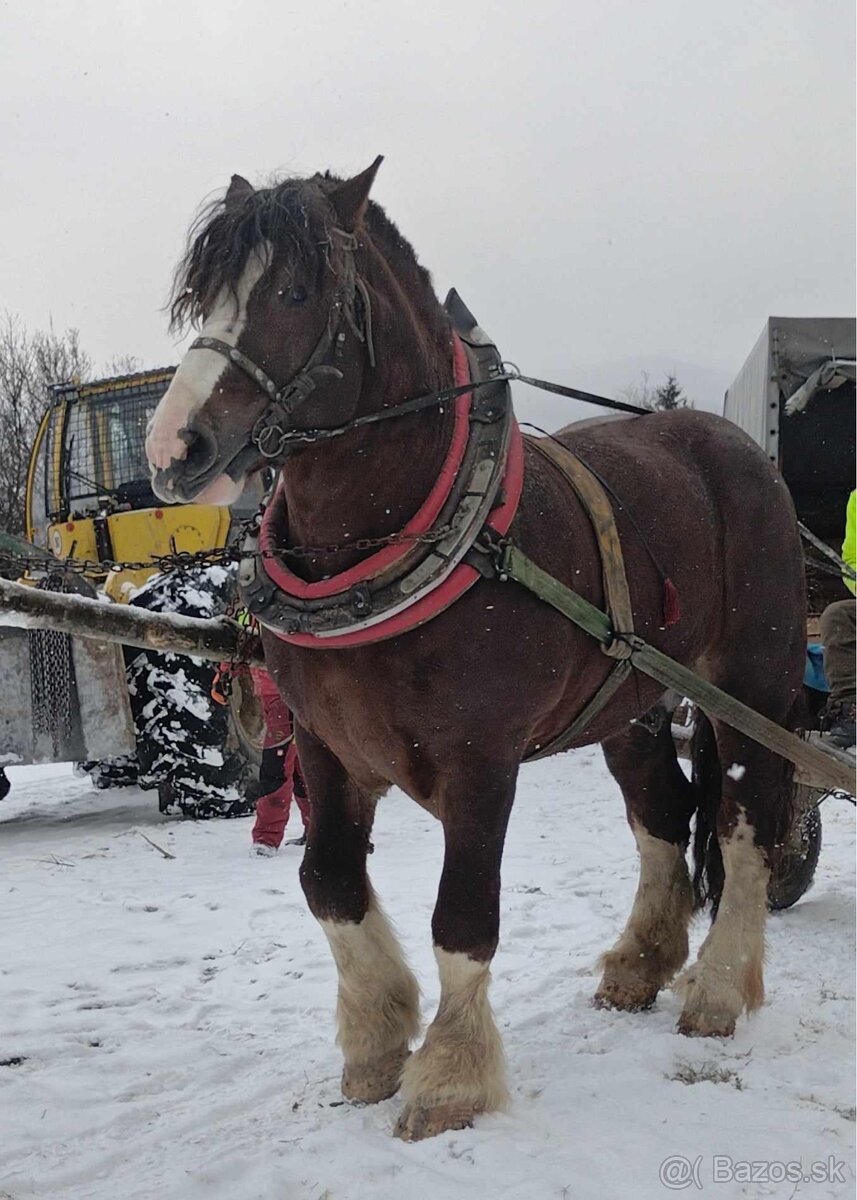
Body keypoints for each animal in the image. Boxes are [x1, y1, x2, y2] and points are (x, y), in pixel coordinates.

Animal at [143, 162, 806, 1142]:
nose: (172, 447)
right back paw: (637, 963)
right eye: (202, 297)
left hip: (752, 685)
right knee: (663, 811)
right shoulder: (324, 747)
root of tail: (736, 451)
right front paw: (377, 1045)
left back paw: (719, 989)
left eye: (294, 292)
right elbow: (327, 881)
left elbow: (462, 915)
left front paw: (450, 1078)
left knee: (744, 815)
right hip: (635, 701)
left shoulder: (479, 760)